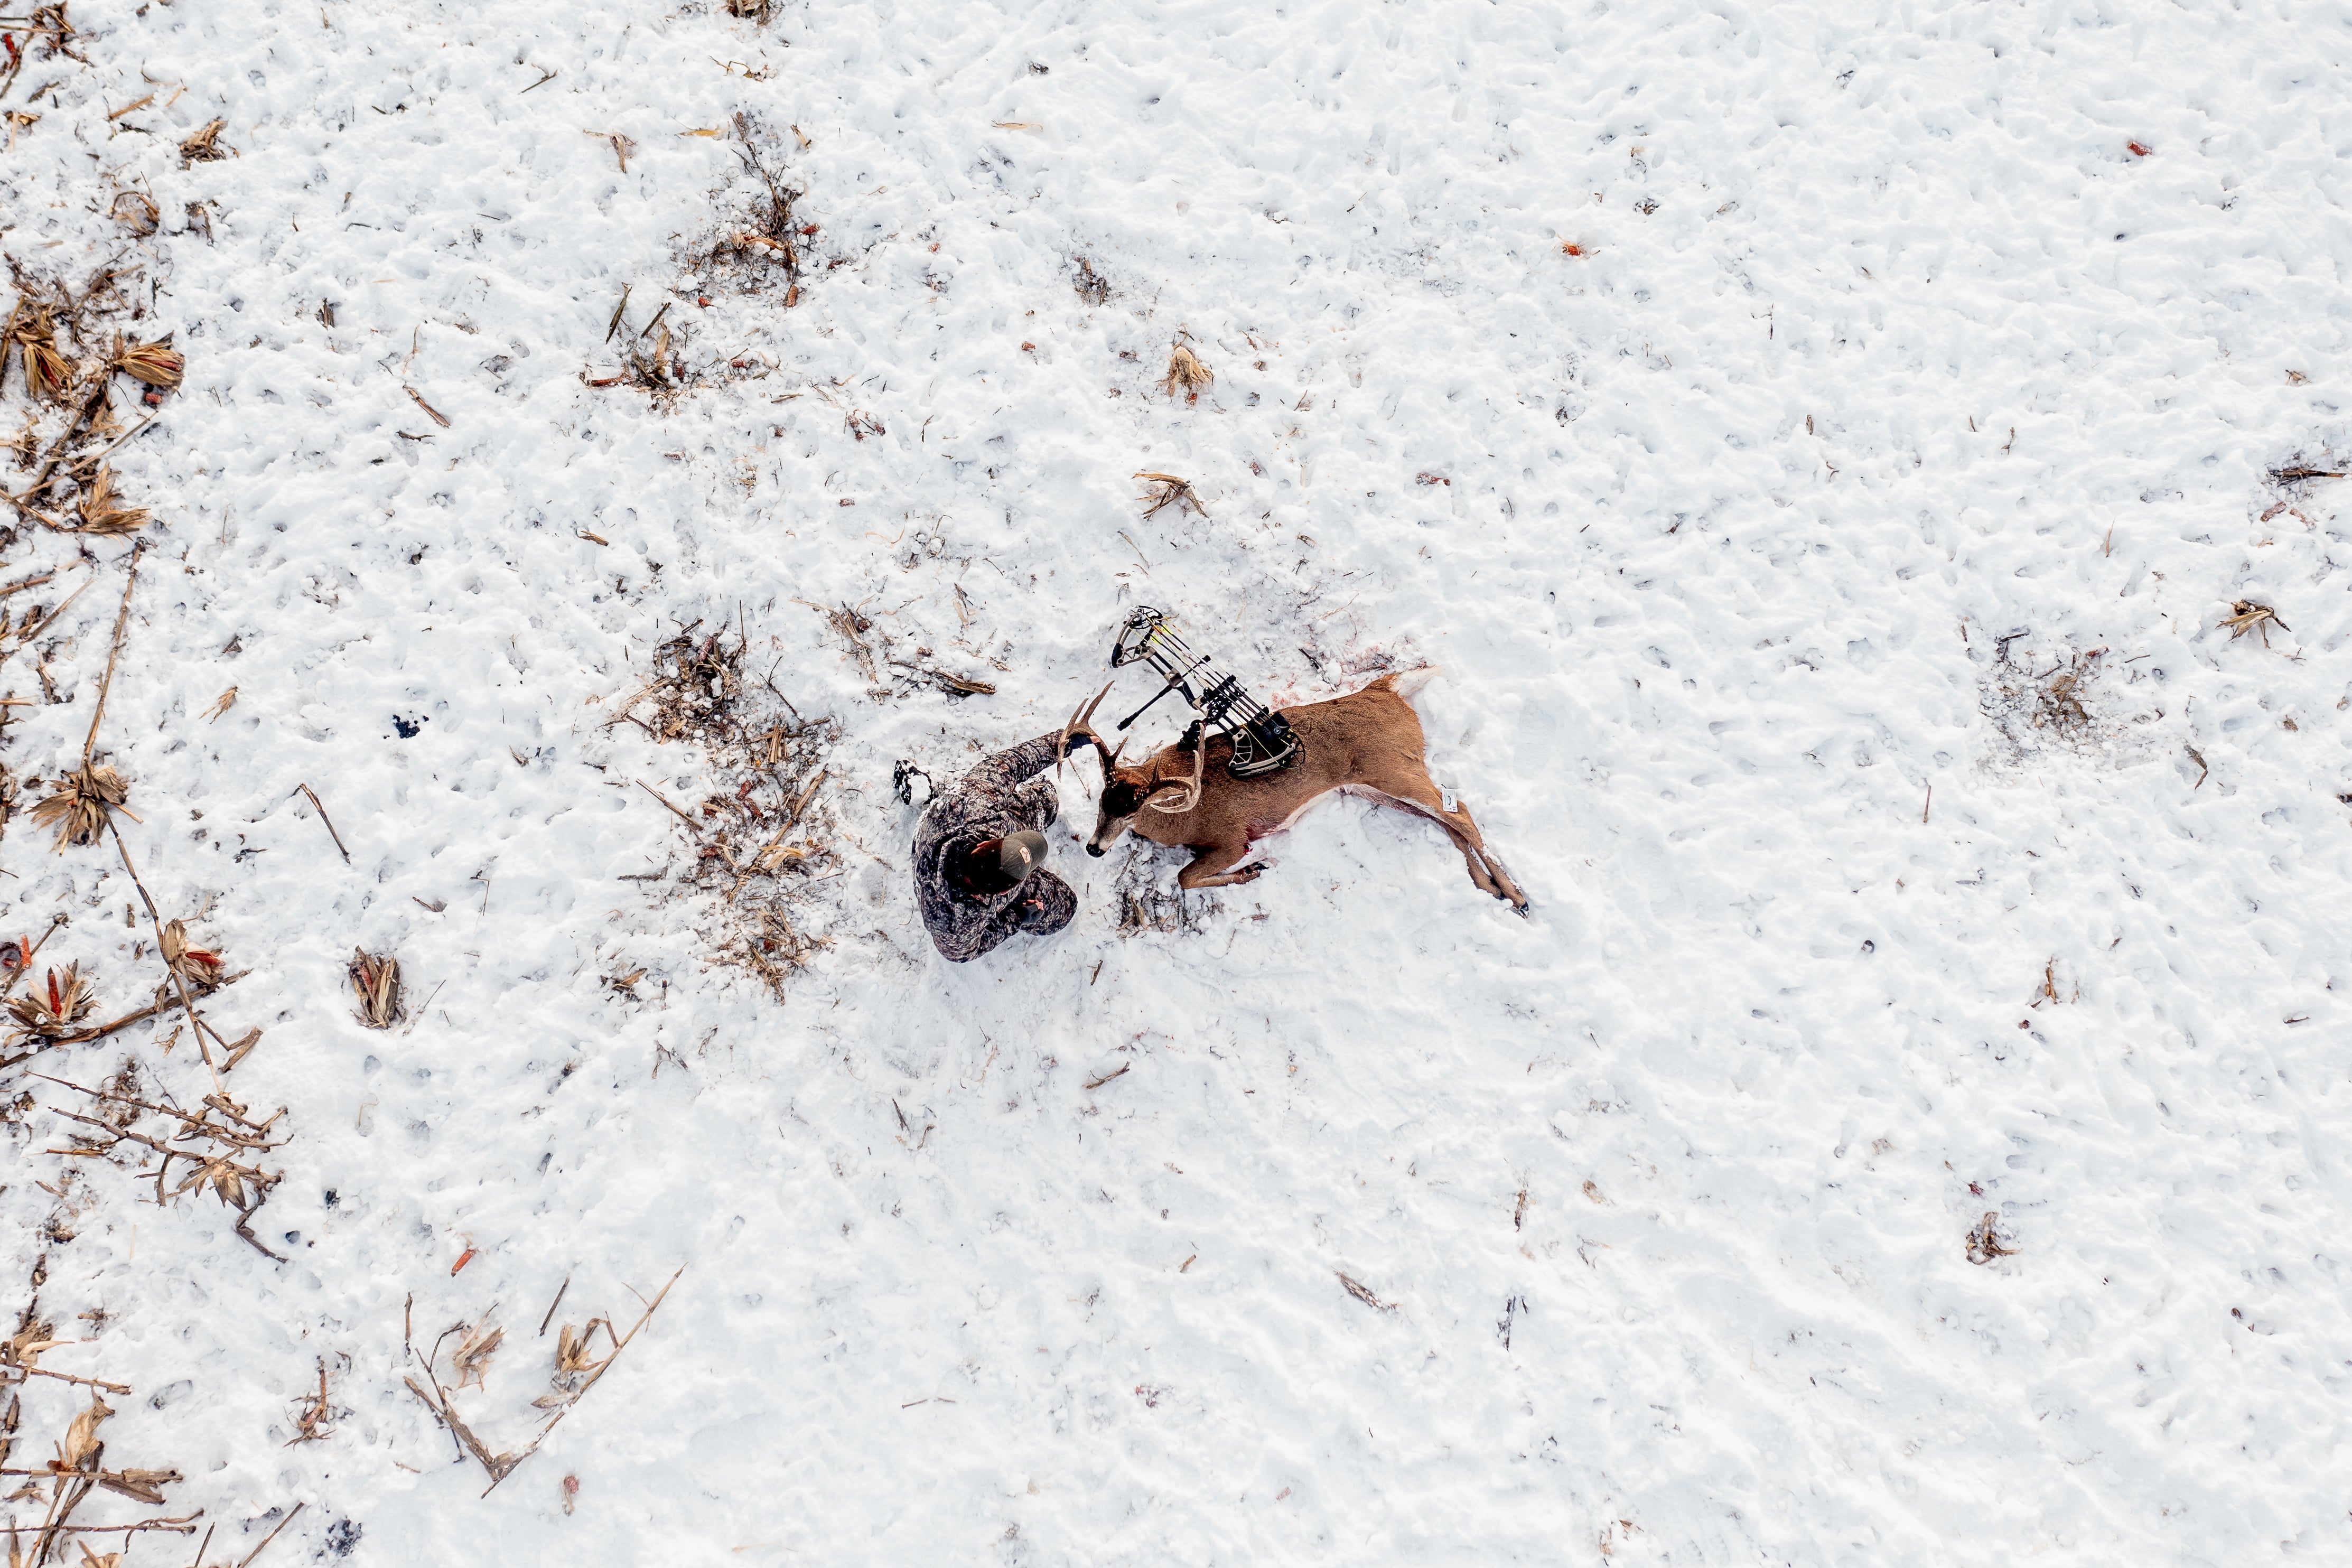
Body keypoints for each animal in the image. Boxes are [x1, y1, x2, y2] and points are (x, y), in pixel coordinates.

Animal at [1059, 669, 1527, 908]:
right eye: (1102, 800)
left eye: (1134, 809)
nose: (1095, 848)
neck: (1181, 817)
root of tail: (1386, 689)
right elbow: (1186, 876)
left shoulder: (1232, 838)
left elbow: (1185, 877)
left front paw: (1253, 870)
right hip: (1374, 788)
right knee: (1446, 820)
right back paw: (1491, 889)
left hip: (1392, 768)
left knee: (1459, 810)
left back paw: (1517, 895)